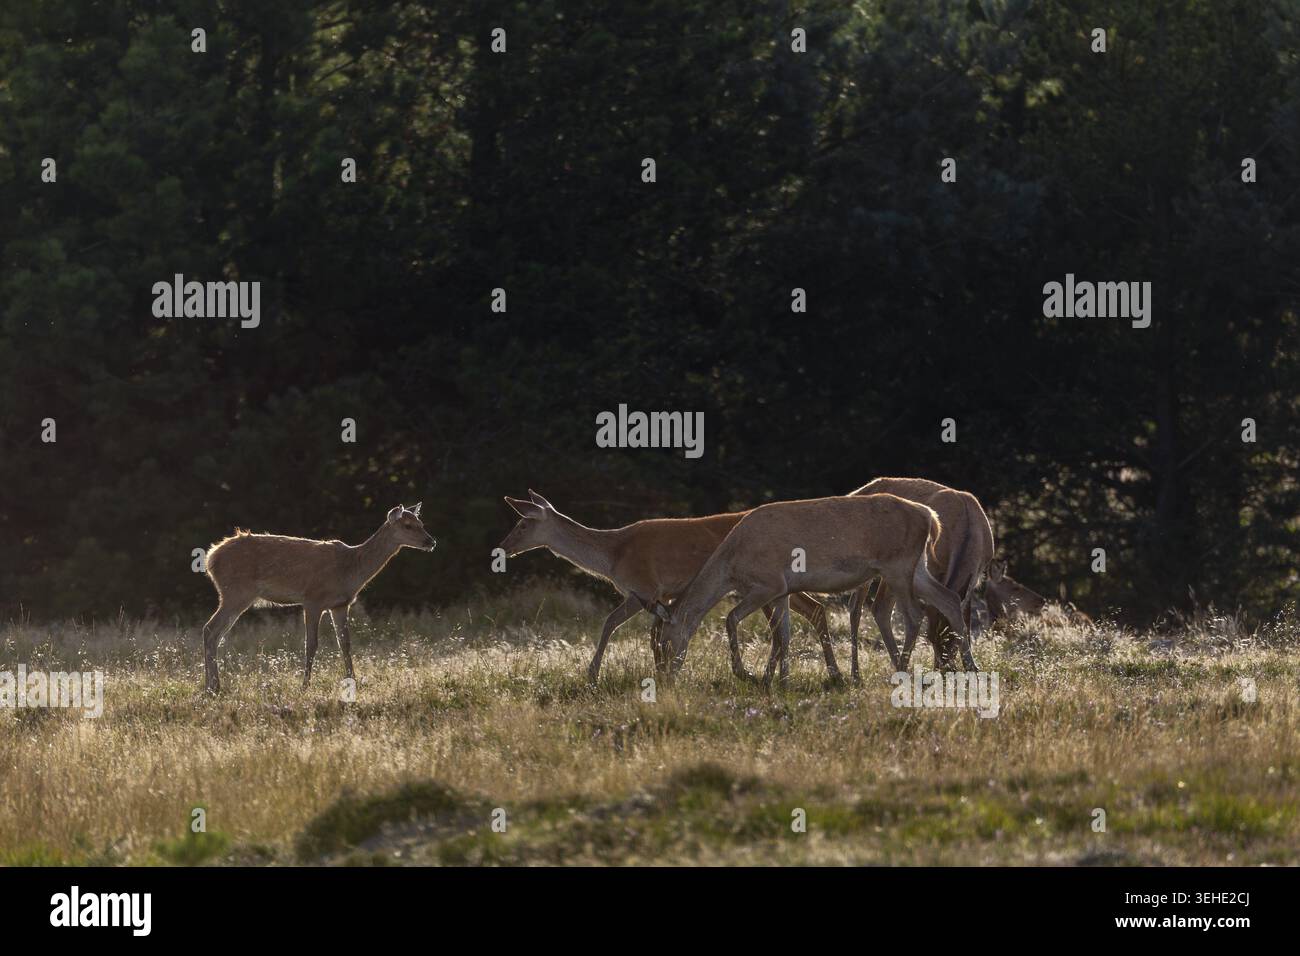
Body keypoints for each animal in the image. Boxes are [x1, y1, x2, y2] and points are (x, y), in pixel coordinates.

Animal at [200, 503, 436, 694]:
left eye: (421, 522)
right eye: (408, 525)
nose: (431, 541)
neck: (350, 569)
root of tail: (211, 557)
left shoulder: (340, 605)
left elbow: (345, 643)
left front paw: (352, 680)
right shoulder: (312, 599)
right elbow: (311, 644)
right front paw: (305, 686)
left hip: (235, 594)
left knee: (215, 633)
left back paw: (212, 685)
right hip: (236, 592)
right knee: (210, 629)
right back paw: (213, 687)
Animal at [498, 491, 841, 684]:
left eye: (523, 524)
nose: (503, 547)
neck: (612, 558)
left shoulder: (646, 588)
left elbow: (615, 624)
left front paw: (593, 674)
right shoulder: (652, 595)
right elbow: (647, 632)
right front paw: (661, 671)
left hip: (770, 582)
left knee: (810, 611)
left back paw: (828, 674)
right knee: (805, 614)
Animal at [652, 493, 974, 685]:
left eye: (663, 643)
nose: (665, 678)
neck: (731, 567)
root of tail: (930, 516)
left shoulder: (769, 583)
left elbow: (731, 618)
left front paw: (746, 673)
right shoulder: (782, 590)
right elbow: (782, 634)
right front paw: (776, 680)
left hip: (898, 565)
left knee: (914, 615)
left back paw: (902, 671)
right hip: (916, 567)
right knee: (949, 599)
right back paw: (970, 666)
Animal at [843, 477, 995, 678]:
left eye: (951, 640)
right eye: (930, 638)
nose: (943, 669)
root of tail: (855, 492)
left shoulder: (976, 576)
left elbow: (967, 621)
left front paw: (969, 666)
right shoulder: (930, 565)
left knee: (875, 607)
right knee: (860, 608)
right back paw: (857, 673)